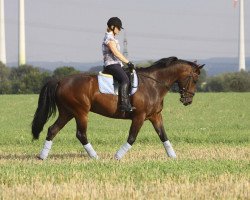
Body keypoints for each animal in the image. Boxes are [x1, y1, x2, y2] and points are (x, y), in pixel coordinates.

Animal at [31, 56, 203, 159]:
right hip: (80, 112)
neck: (153, 84)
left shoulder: (155, 116)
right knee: (81, 134)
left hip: (67, 113)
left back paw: (42, 156)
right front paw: (118, 156)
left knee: (52, 130)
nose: (188, 100)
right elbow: (132, 137)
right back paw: (95, 156)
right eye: (195, 80)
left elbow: (163, 136)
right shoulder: (139, 116)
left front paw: (173, 156)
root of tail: (60, 80)